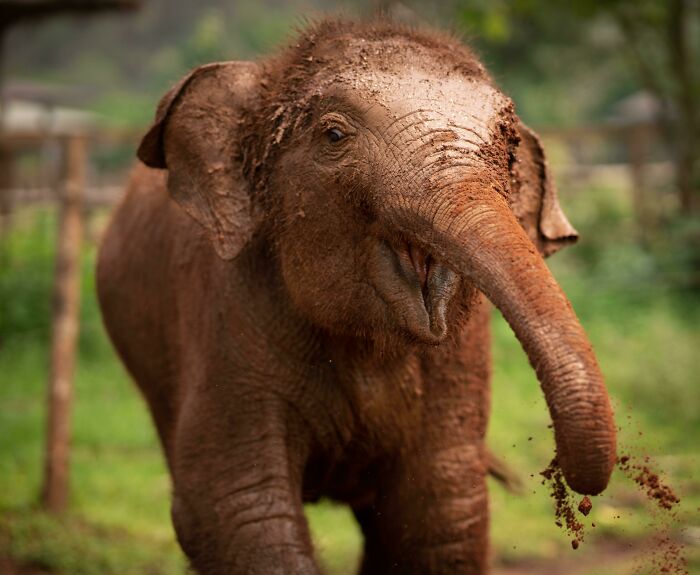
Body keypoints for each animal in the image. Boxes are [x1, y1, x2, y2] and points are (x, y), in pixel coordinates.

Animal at [97, 18, 612, 575]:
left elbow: (440, 517)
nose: (573, 489)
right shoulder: (225, 315)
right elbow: (237, 507)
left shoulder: (463, 357)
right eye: (334, 135)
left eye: (510, 148)